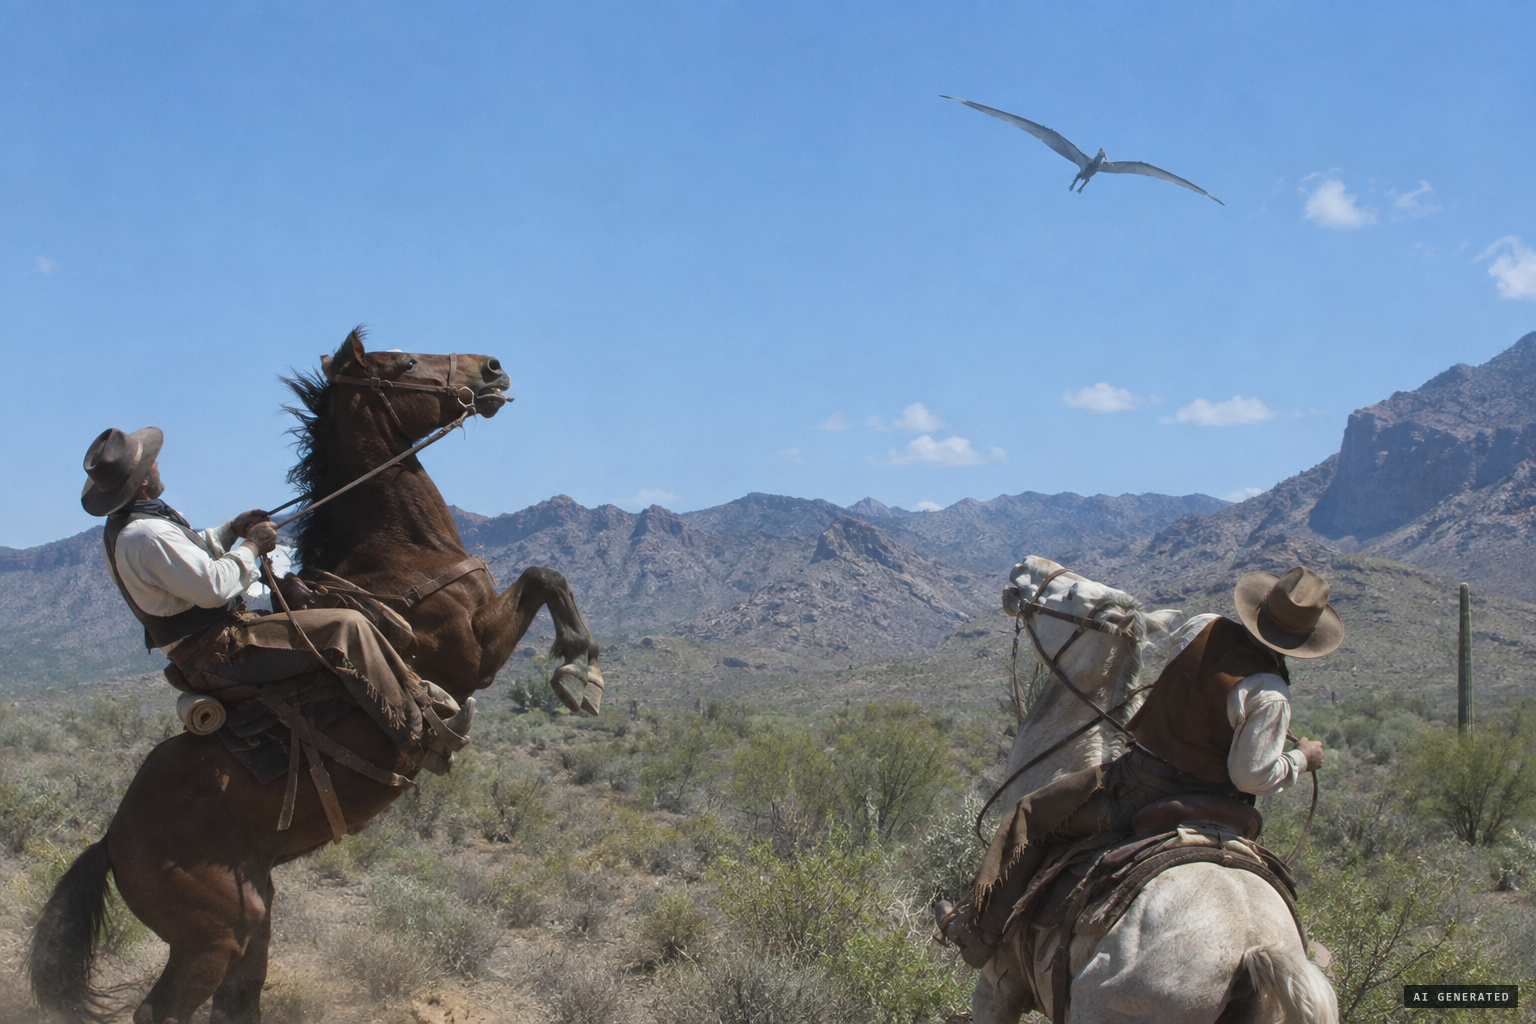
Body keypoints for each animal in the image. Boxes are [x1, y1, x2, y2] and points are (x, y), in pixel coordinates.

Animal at [29, 328, 603, 1024]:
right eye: (404, 362)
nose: (492, 369)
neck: (402, 554)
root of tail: (112, 841)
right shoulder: (473, 652)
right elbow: (547, 574)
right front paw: (579, 670)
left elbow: (550, 575)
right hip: (213, 936)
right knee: (163, 1009)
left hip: (255, 911)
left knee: (239, 999)